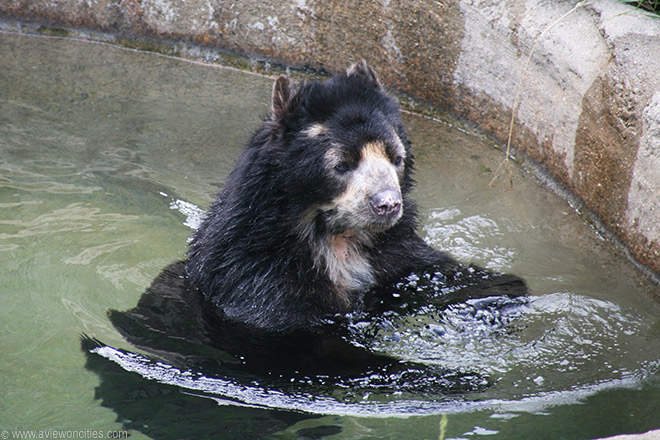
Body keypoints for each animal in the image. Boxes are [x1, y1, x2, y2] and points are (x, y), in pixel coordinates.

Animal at [186, 61, 526, 332]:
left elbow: (439, 271)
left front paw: (498, 295)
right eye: (342, 164)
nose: (387, 204)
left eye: (396, 157)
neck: (338, 242)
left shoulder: (395, 256)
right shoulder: (259, 281)